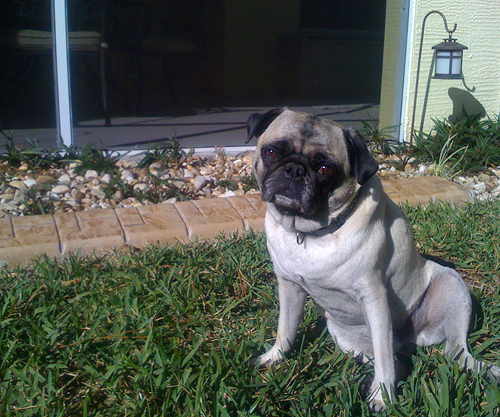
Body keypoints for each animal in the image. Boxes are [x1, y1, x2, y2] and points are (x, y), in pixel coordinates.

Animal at [245, 108, 500, 410]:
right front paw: (274, 358)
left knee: (452, 354)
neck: (311, 232)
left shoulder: (373, 298)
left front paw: (382, 395)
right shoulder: (289, 286)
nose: (295, 170)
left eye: (325, 169)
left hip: (452, 288)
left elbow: (384, 360)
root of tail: (408, 340)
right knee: (387, 358)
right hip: (342, 334)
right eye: (272, 152)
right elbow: (286, 330)